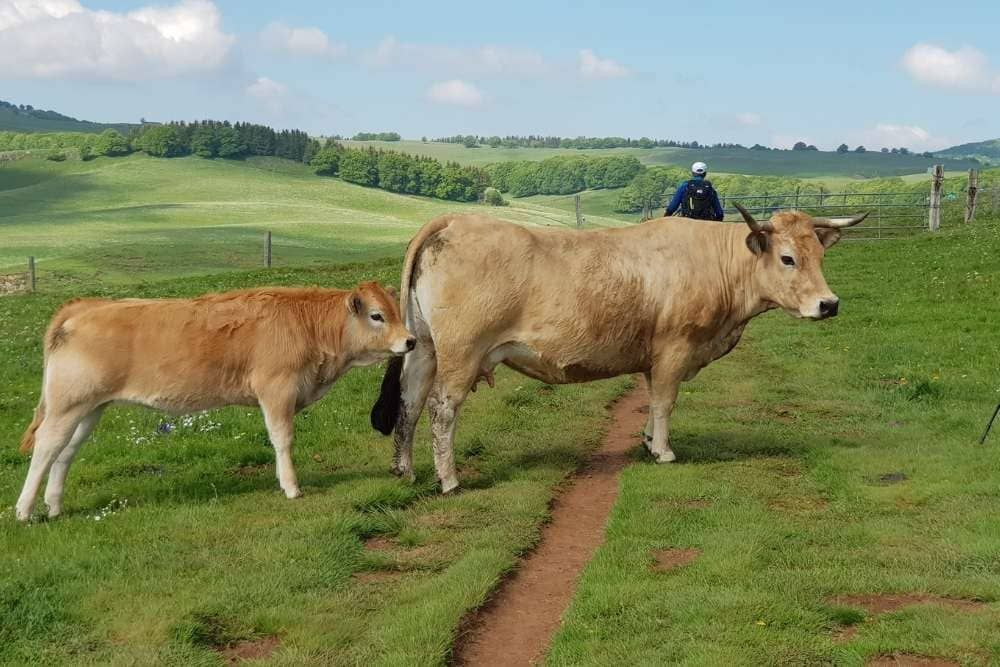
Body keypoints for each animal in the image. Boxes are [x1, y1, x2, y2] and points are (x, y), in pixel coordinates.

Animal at [15, 282, 414, 521]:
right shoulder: (277, 389)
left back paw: (54, 506)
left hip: (89, 408)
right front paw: (291, 486)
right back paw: (24, 510)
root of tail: (85, 306)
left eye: (397, 311)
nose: (410, 340)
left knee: (65, 452)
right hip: (67, 404)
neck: (308, 326)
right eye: (377, 316)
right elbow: (282, 439)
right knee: (47, 446)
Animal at [371, 205, 867, 493]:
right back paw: (448, 479)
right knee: (441, 410)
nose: (829, 304)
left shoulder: (653, 355)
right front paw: (663, 452)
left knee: (410, 404)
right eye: (787, 258)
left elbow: (651, 401)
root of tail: (454, 220)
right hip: (462, 353)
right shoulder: (674, 348)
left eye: (819, 256)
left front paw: (647, 441)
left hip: (424, 348)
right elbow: (665, 401)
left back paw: (404, 470)